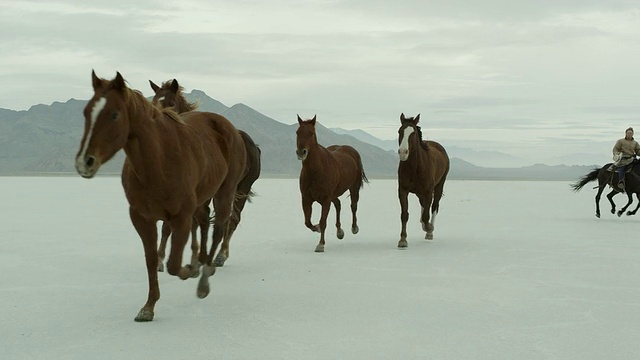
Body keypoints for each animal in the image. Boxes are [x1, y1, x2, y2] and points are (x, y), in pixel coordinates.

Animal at [74, 71, 246, 320]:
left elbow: (175, 263)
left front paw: (190, 270)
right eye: (87, 112)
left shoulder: (181, 217)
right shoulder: (141, 218)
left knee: (220, 228)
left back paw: (205, 277)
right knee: (206, 223)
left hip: (225, 192)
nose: (84, 162)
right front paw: (148, 307)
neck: (159, 160)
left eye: (114, 114)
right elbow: (151, 258)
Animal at [296, 115, 368, 253]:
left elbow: (323, 221)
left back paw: (354, 227)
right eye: (297, 132)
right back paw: (340, 232)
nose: (301, 152)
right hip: (334, 194)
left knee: (353, 205)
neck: (315, 171)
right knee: (338, 204)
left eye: (311, 133)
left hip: (353, 187)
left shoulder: (325, 199)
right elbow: (307, 222)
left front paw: (320, 244)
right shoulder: (306, 199)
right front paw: (317, 228)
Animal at [396, 112, 450, 248]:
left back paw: (429, 231)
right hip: (419, 192)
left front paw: (429, 228)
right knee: (424, 204)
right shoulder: (402, 190)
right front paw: (402, 239)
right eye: (400, 131)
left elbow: (427, 215)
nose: (403, 152)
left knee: (434, 206)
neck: (415, 167)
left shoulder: (428, 191)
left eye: (413, 133)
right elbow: (404, 214)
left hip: (439, 185)